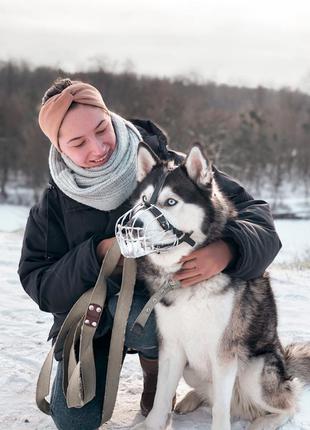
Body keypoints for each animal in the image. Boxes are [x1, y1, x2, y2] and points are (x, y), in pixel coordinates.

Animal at [121, 144, 310, 430]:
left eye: (170, 202)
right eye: (144, 200)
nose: (133, 226)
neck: (183, 280)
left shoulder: (224, 352)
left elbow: (221, 410)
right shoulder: (171, 348)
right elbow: (160, 400)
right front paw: (150, 425)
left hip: (254, 369)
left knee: (289, 403)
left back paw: (262, 422)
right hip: (192, 369)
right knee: (208, 394)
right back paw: (190, 400)